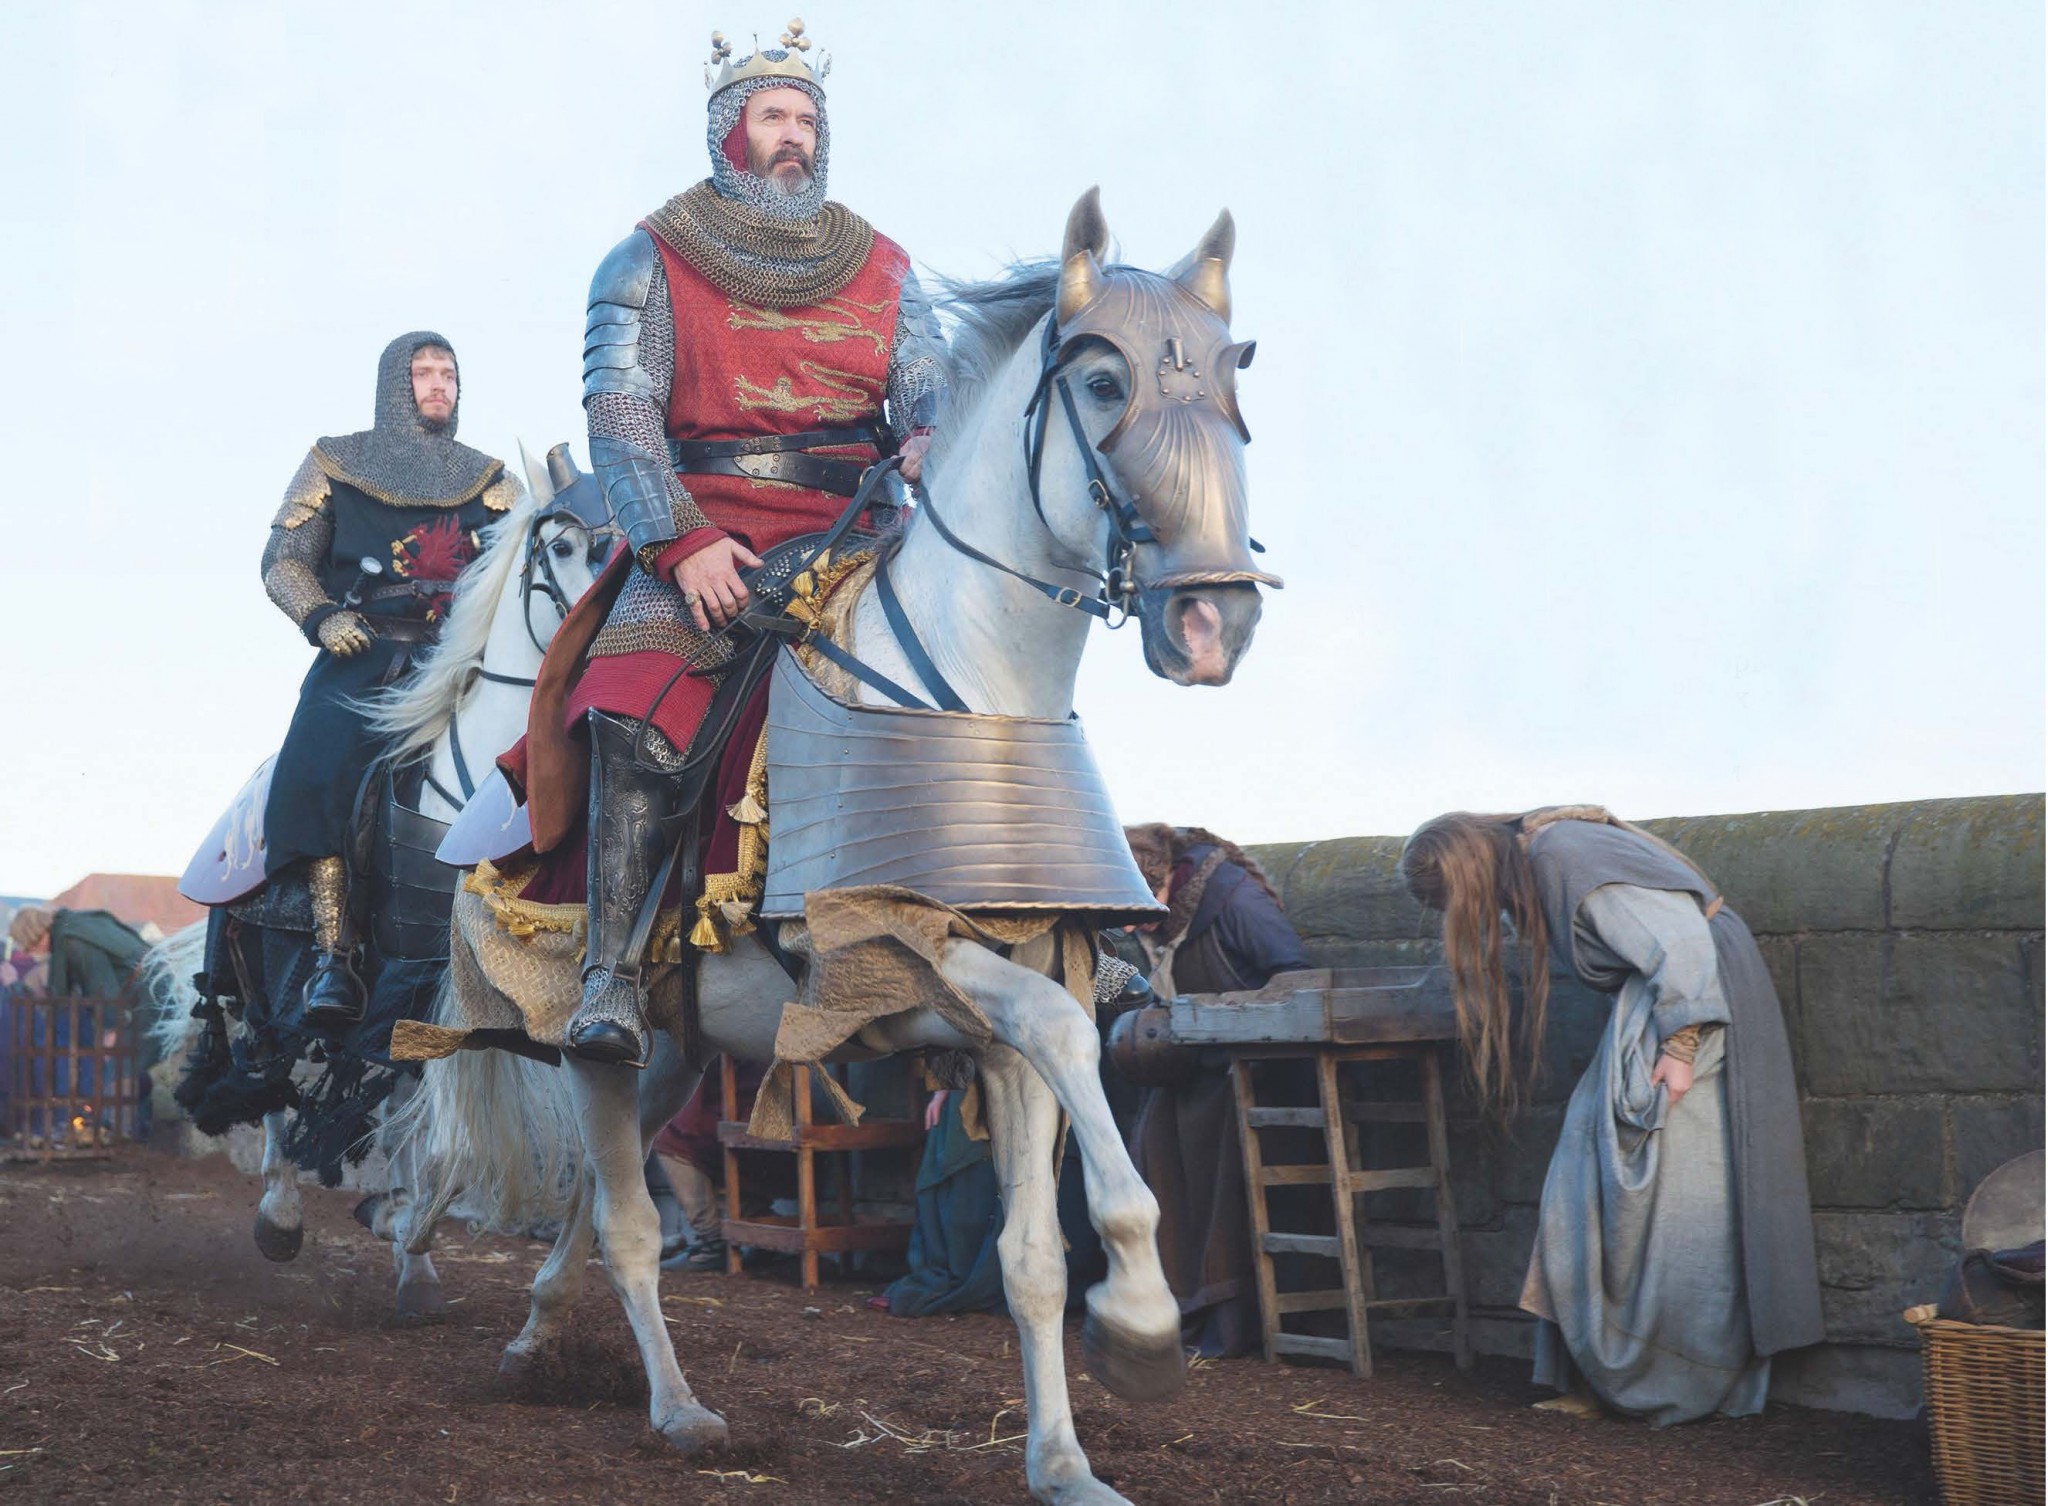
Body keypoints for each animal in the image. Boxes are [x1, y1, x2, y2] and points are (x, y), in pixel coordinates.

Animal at [147, 452, 610, 1315]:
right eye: (563, 547)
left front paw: (408, 1236)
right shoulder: (432, 988)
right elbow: (447, 1143)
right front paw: (401, 1228)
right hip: (271, 982)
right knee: (270, 1077)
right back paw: (281, 1212)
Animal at [403, 191, 1272, 1505]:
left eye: (1232, 377)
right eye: (1102, 379)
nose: (1213, 619)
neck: (971, 681)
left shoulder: (1008, 1014)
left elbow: (1030, 1255)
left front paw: (1066, 1462)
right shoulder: (900, 949)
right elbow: (1075, 1056)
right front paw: (1141, 1326)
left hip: (675, 1052)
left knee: (599, 1202)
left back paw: (539, 1338)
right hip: (601, 1040)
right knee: (626, 1221)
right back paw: (675, 1408)